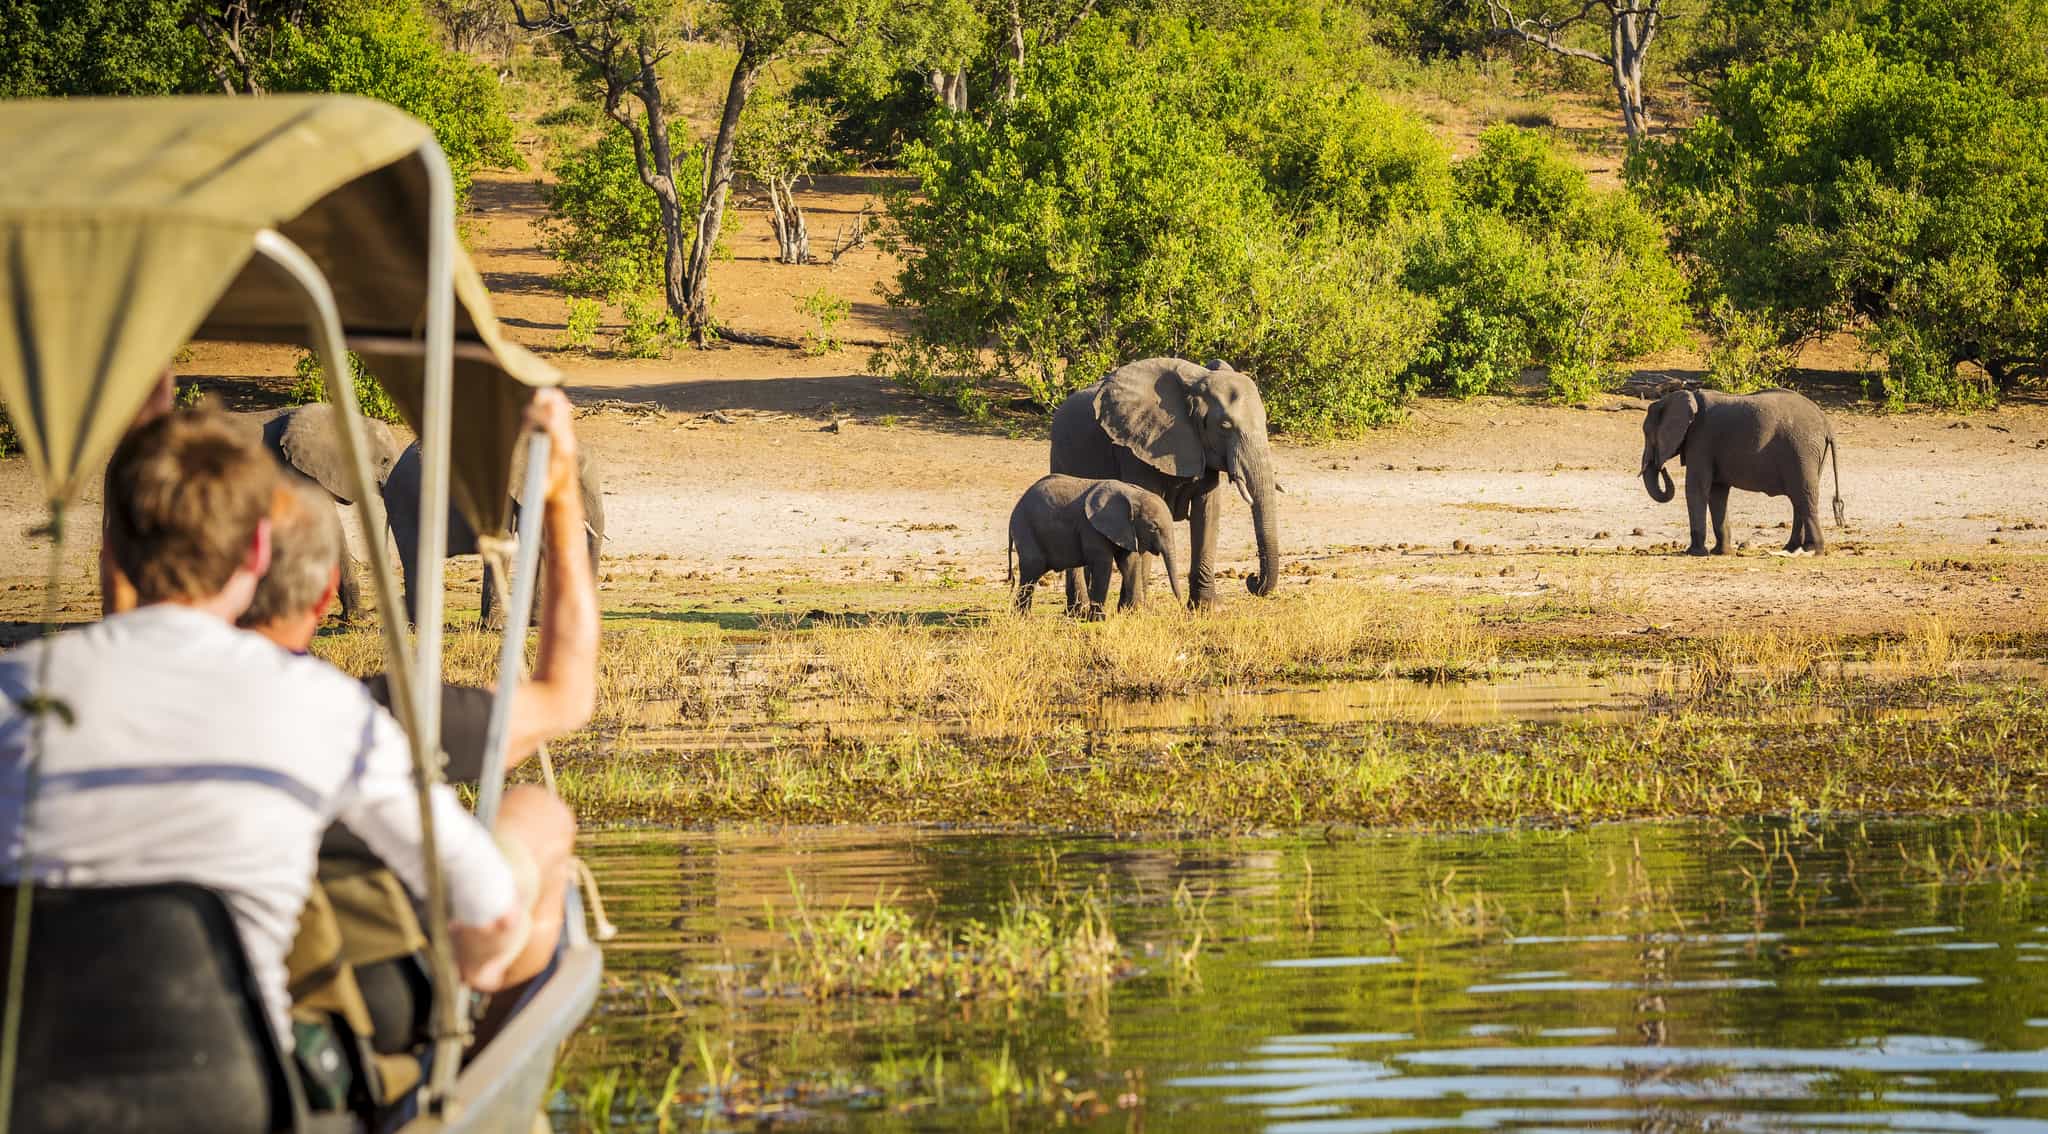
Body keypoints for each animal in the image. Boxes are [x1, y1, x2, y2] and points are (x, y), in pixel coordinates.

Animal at [1007, 472, 1187, 614]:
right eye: (1153, 528)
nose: (1182, 607)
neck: (1133, 494)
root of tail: (1015, 509)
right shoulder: (1091, 528)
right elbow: (1103, 564)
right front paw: (1097, 620)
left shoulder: (1126, 530)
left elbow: (1130, 563)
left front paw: (1136, 616)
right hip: (1025, 528)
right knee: (1032, 569)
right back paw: (1023, 618)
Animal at [1056, 356, 1277, 605]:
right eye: (1225, 426)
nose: (1252, 580)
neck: (1194, 384)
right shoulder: (1135, 447)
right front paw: (1136, 609)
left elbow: (1207, 512)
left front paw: (1207, 607)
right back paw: (1080, 609)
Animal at [1638, 386, 1851, 552]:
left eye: (1647, 433)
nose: (1662, 468)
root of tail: (1827, 424)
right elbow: (1717, 493)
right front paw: (1720, 553)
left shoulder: (1701, 441)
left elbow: (1696, 488)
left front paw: (1693, 553)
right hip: (1811, 454)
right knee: (1799, 498)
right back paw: (1794, 548)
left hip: (1802, 450)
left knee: (1804, 494)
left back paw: (1813, 550)